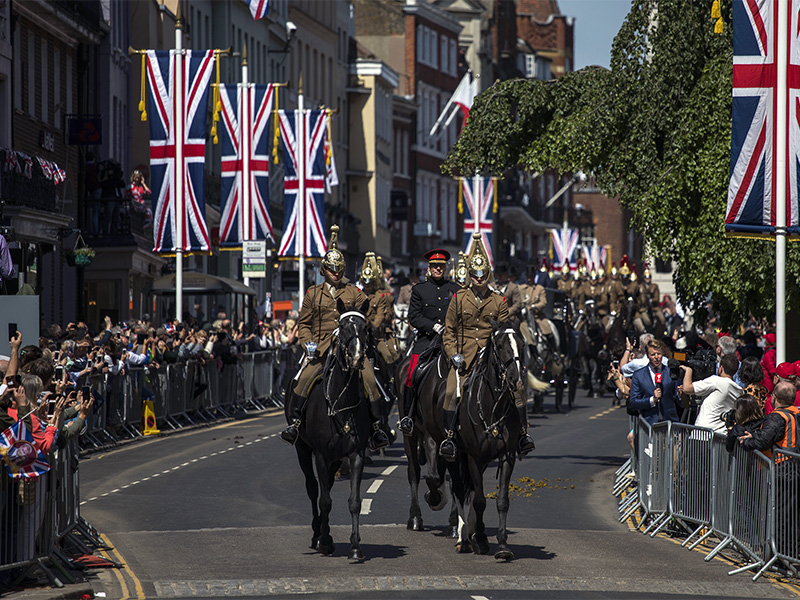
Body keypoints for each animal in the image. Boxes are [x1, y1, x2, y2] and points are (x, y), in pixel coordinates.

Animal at [288, 300, 372, 564]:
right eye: (343, 327)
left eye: (365, 327)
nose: (356, 358)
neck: (340, 400)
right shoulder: (320, 454)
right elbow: (324, 500)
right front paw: (325, 541)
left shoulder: (356, 454)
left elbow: (354, 501)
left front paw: (355, 547)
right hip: (303, 450)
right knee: (313, 488)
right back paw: (317, 535)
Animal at [454, 324, 528, 564]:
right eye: (501, 346)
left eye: (522, 345)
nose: (516, 379)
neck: (491, 408)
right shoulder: (473, 458)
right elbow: (479, 500)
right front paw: (481, 539)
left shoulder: (507, 456)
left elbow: (502, 500)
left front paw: (503, 546)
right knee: (459, 490)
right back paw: (464, 537)